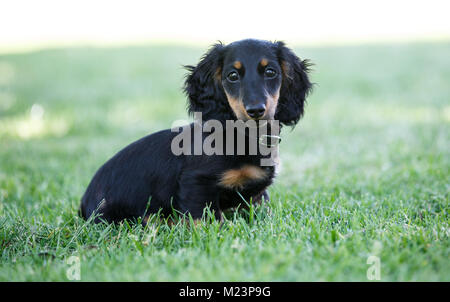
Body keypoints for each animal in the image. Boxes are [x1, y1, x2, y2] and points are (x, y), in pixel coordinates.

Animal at [79, 39, 312, 224]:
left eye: (271, 72)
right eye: (232, 75)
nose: (256, 110)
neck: (243, 137)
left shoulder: (256, 193)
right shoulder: (197, 182)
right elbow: (206, 219)